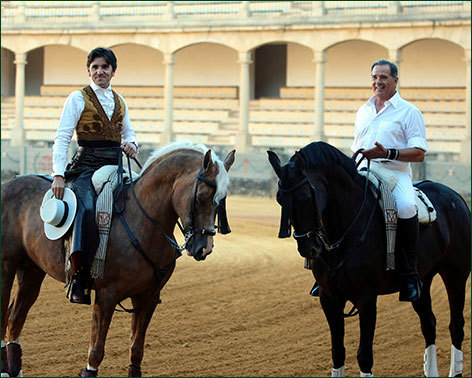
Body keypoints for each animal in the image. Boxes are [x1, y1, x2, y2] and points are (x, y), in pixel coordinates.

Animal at [0, 140, 235, 376]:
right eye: (200, 196)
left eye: (220, 201)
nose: (204, 248)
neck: (142, 221)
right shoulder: (107, 295)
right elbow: (96, 351)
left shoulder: (147, 298)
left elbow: (136, 350)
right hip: (6, 268)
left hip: (32, 271)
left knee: (15, 318)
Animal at [268, 142, 470, 378]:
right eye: (279, 199)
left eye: (306, 198)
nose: (308, 248)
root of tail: (456, 196)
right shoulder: (329, 297)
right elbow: (337, 351)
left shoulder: (366, 298)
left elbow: (364, 356)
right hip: (423, 279)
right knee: (428, 323)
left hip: (455, 274)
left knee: (456, 325)